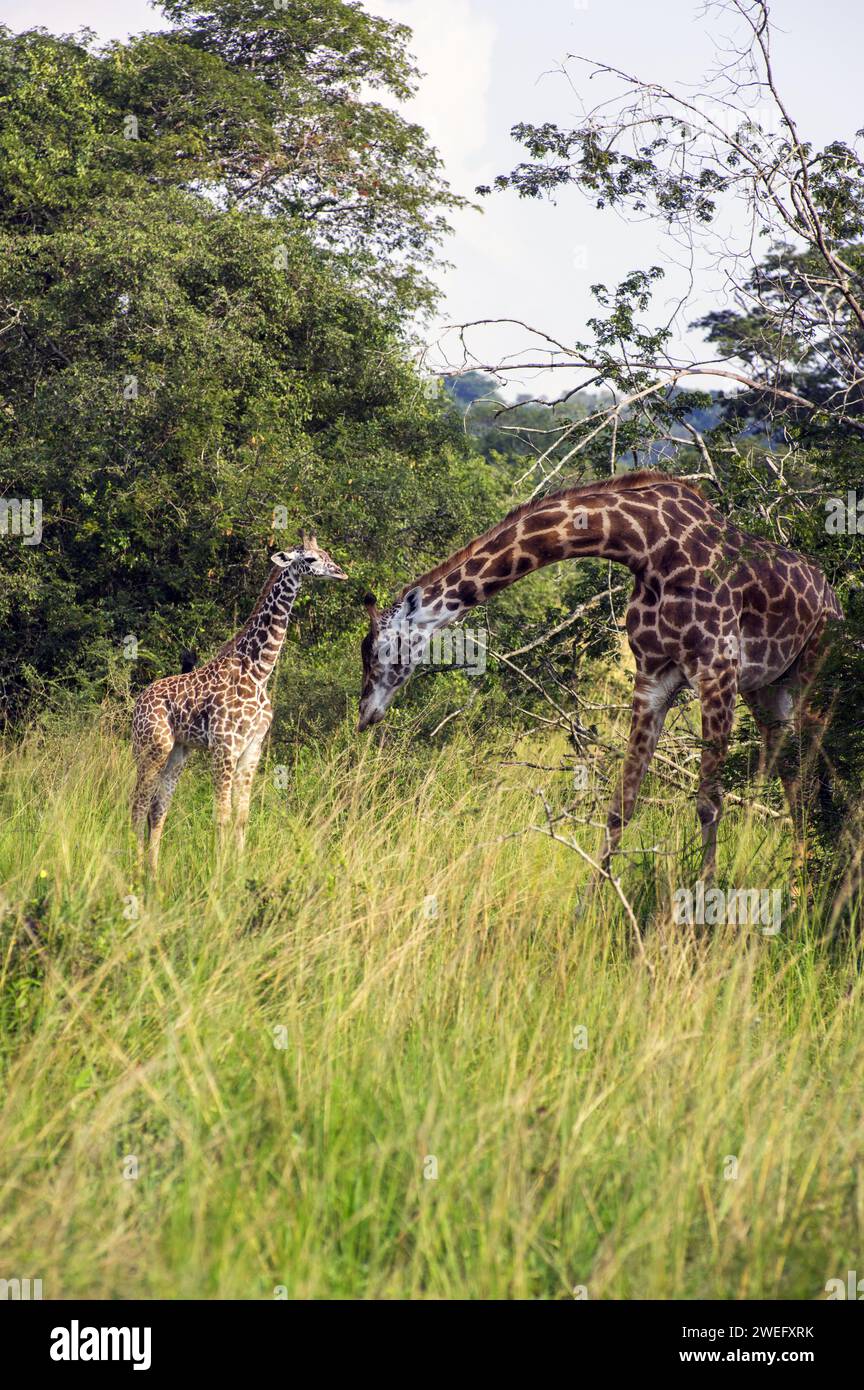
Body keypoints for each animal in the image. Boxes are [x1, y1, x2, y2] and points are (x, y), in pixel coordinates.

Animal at [131, 533, 345, 867]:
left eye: (327, 553)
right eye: (310, 559)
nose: (340, 572)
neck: (259, 671)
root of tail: (137, 703)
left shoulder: (252, 747)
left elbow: (242, 817)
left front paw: (239, 868)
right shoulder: (224, 745)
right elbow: (222, 815)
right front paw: (220, 870)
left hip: (179, 751)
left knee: (157, 808)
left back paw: (152, 870)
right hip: (152, 746)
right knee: (138, 805)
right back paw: (135, 867)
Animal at [358, 472, 844, 872]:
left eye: (382, 651)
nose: (365, 715)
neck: (644, 544)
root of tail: (832, 595)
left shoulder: (716, 671)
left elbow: (709, 803)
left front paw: (700, 919)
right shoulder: (653, 676)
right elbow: (622, 802)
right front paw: (590, 902)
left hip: (813, 675)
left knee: (824, 778)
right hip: (767, 690)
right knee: (797, 782)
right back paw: (800, 888)